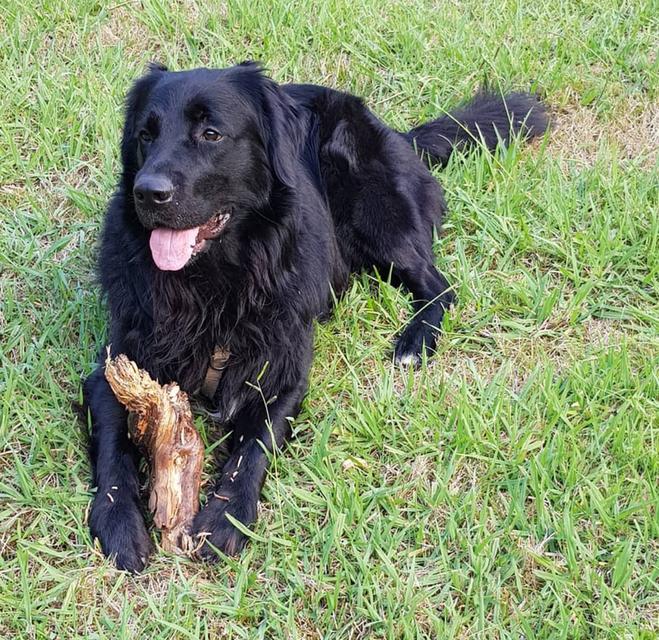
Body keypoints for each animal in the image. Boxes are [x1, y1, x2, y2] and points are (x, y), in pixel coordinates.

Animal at [84, 61, 548, 568]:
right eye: (145, 135)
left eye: (211, 134)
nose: (147, 192)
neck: (213, 285)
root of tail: (397, 135)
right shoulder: (115, 367)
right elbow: (113, 449)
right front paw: (118, 522)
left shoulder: (283, 374)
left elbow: (253, 449)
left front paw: (225, 520)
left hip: (371, 206)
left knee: (438, 285)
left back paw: (415, 341)